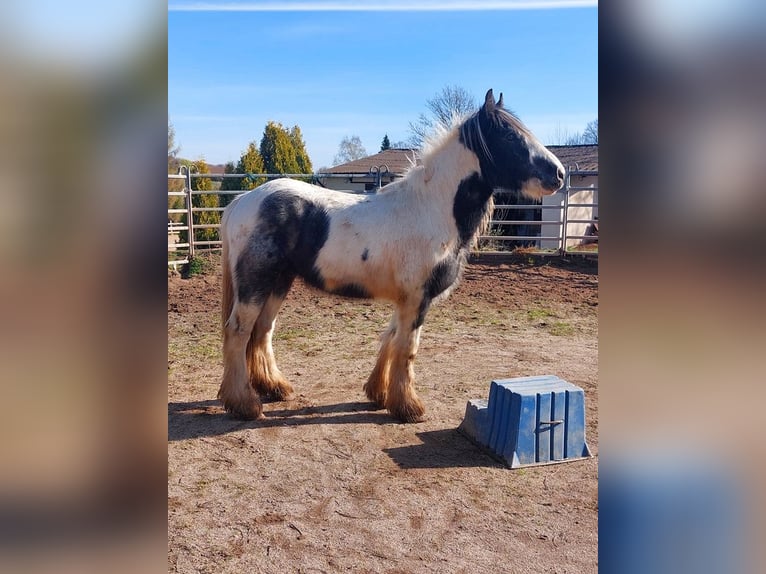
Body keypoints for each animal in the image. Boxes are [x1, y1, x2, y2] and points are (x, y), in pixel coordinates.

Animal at [219, 89, 568, 424]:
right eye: (509, 135)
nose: (560, 174)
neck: (430, 209)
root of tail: (242, 201)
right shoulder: (417, 298)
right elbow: (407, 348)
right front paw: (408, 408)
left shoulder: (406, 299)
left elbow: (390, 339)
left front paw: (379, 394)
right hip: (256, 284)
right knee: (238, 331)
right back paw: (244, 404)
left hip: (279, 282)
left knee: (262, 331)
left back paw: (274, 388)